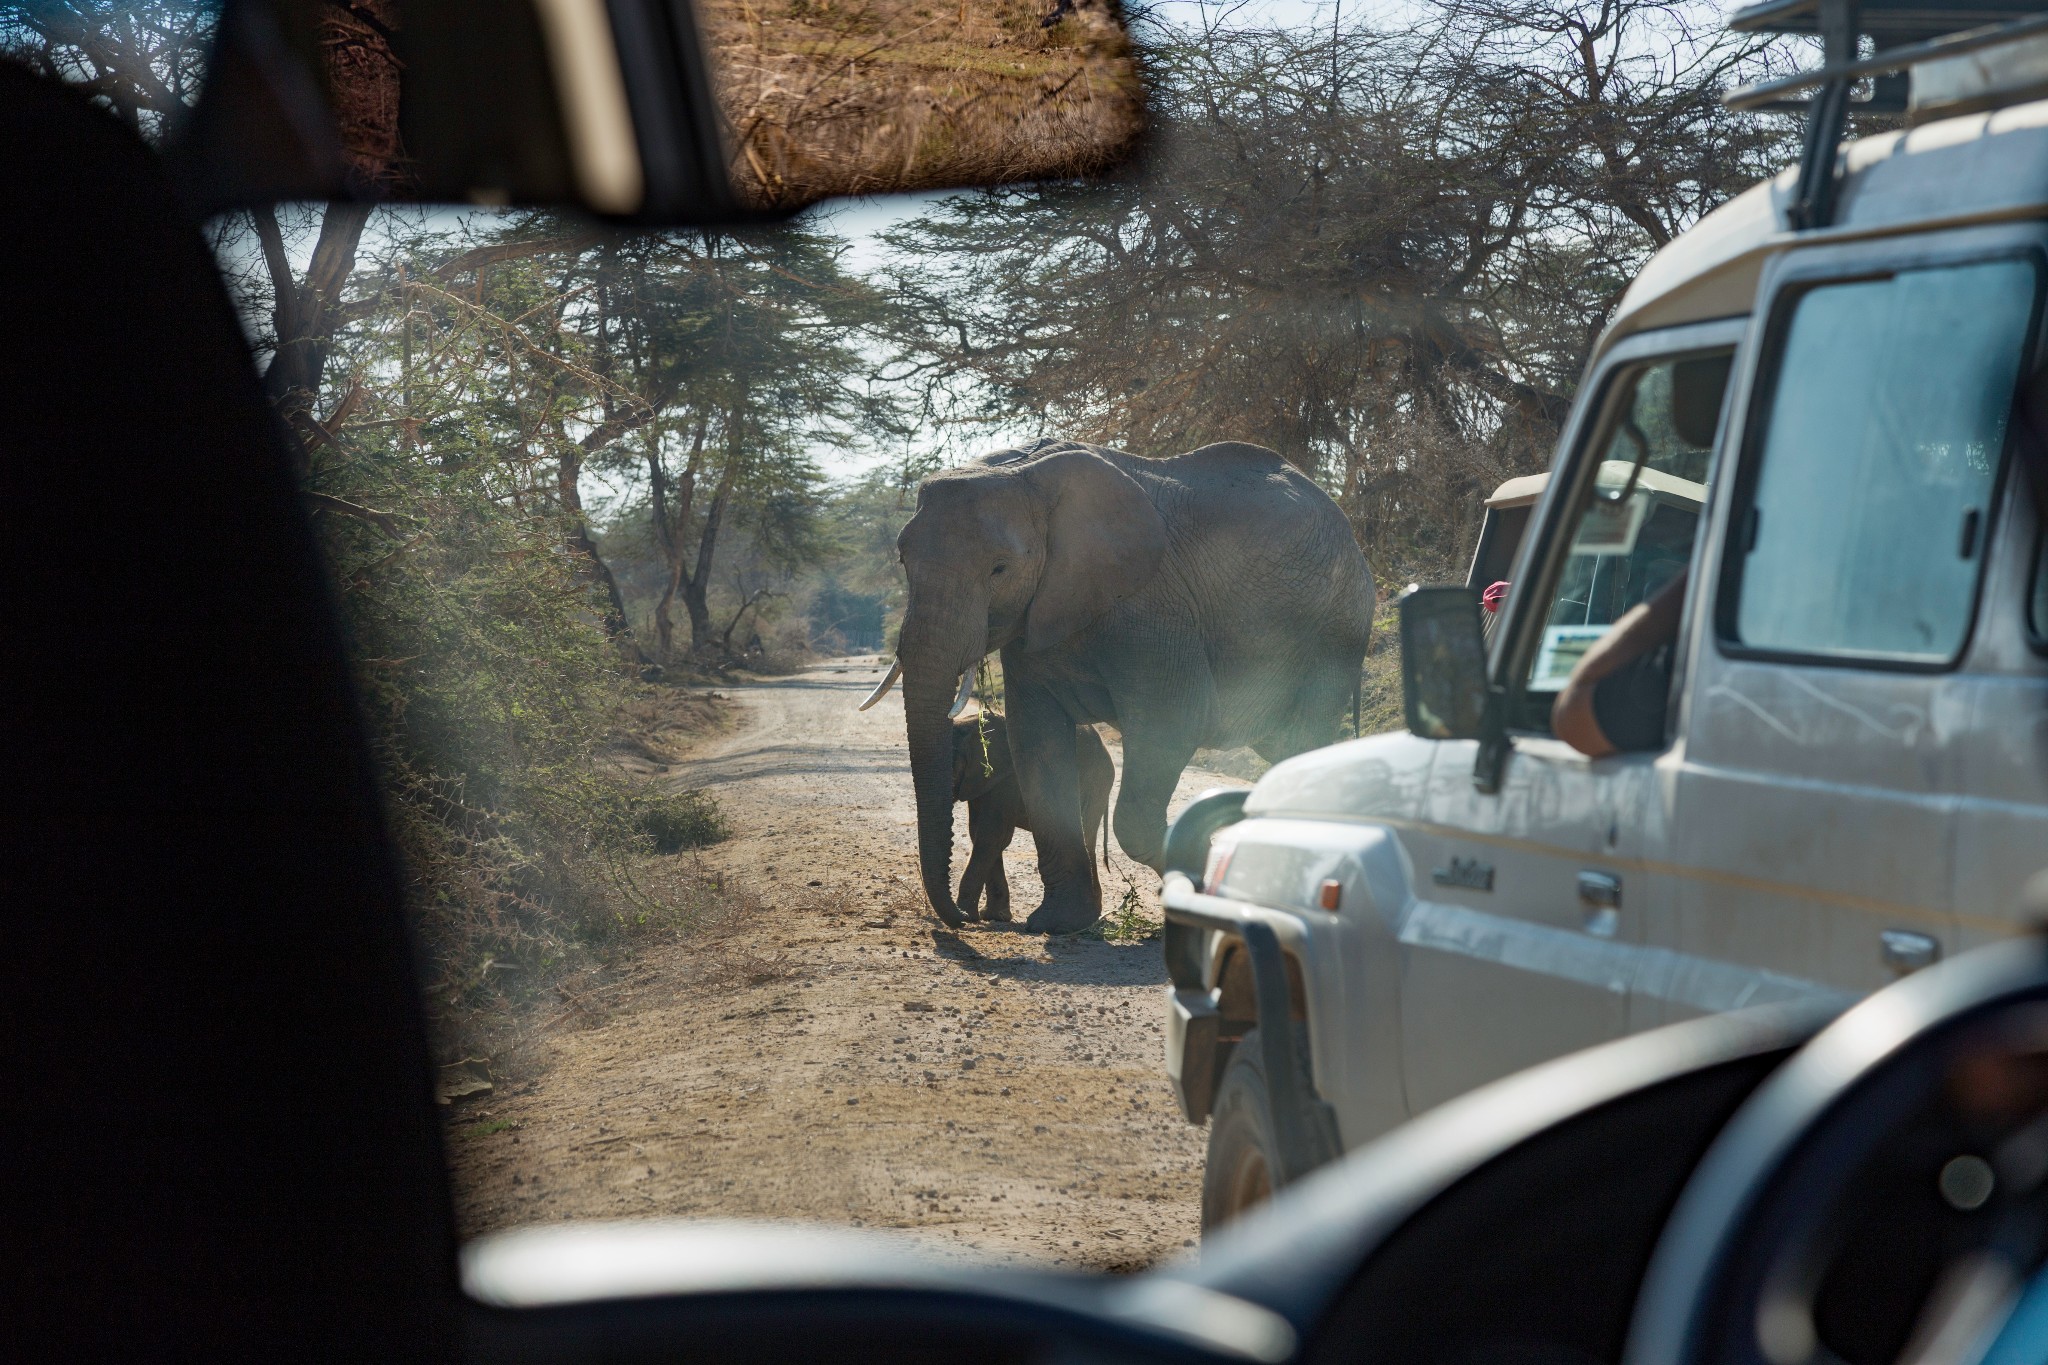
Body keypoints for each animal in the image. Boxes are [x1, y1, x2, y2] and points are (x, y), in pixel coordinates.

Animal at [950, 716, 1114, 929]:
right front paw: (996, 916)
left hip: (1097, 784)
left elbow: (992, 835)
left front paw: (967, 916)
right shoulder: (980, 782)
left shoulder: (1007, 778)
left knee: (1087, 837)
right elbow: (979, 833)